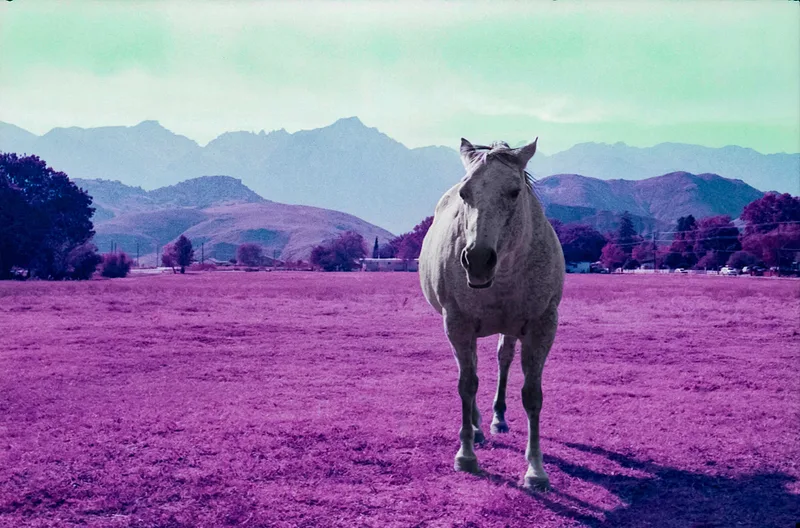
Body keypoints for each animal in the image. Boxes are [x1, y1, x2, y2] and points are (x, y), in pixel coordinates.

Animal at [418, 137, 564, 490]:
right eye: (464, 193)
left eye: (514, 191)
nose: (478, 260)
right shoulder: (457, 323)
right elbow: (466, 384)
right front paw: (466, 455)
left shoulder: (542, 325)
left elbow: (532, 395)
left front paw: (535, 470)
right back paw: (476, 427)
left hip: (510, 328)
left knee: (503, 360)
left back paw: (497, 419)